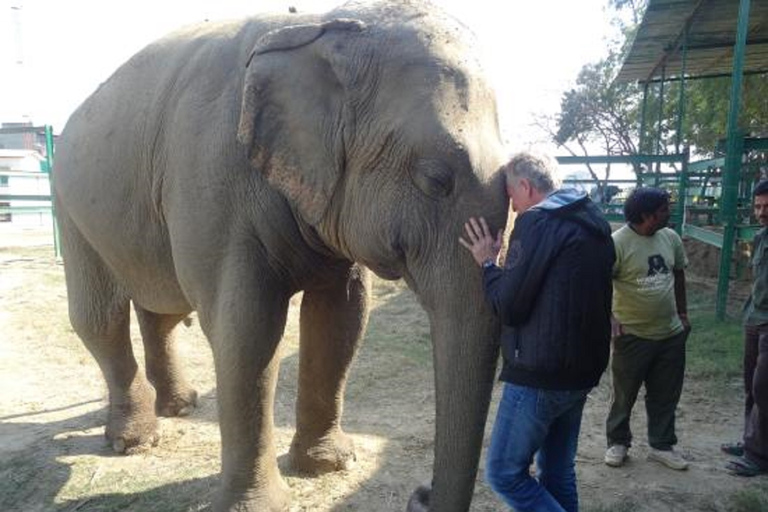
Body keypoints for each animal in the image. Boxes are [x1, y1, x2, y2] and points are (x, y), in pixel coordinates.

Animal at [52, 2, 510, 510]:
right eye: (435, 179)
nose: (422, 493)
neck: (321, 27)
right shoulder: (212, 184)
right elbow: (247, 330)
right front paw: (258, 503)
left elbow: (342, 318)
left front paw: (329, 464)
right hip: (70, 206)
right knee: (99, 317)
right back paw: (133, 441)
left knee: (161, 309)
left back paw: (182, 405)